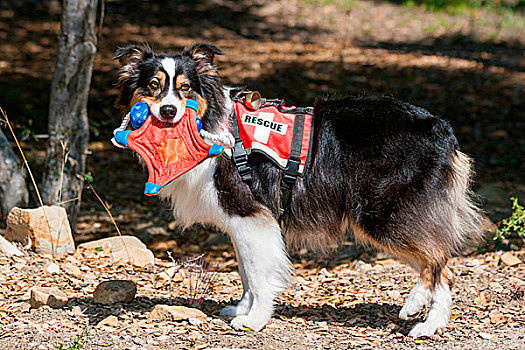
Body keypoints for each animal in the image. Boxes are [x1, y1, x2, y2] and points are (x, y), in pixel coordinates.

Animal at [112, 43, 486, 336]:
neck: (213, 124)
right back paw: (431, 324)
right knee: (442, 267)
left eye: (186, 87)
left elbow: (259, 275)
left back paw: (419, 311)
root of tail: (441, 128)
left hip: (384, 213)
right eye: (153, 85)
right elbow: (246, 271)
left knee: (439, 261)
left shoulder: (251, 214)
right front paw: (242, 309)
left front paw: (255, 320)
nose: (169, 111)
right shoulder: (243, 221)